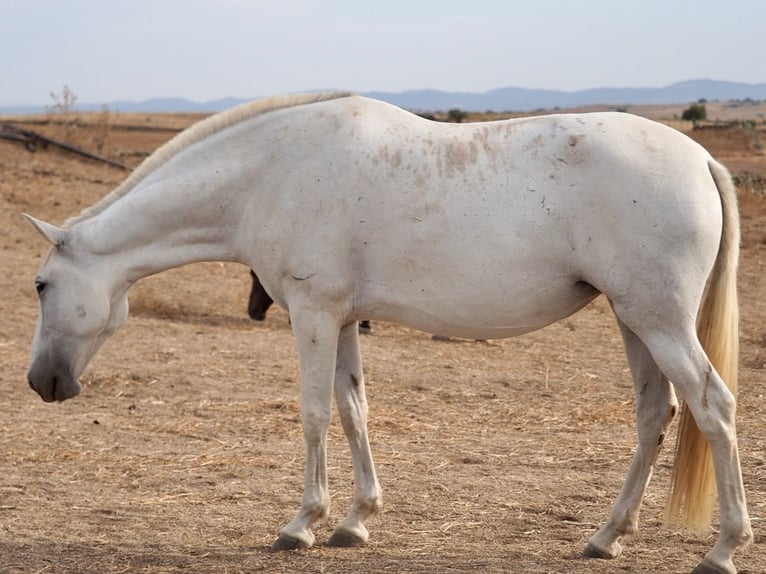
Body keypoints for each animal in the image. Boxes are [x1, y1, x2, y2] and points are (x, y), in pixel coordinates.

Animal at [25, 92, 756, 572]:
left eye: (40, 286)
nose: (42, 382)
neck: (270, 171)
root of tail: (699, 159)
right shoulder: (344, 319)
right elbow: (354, 411)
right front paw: (355, 522)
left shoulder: (313, 314)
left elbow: (316, 414)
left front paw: (302, 525)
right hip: (635, 320)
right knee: (655, 413)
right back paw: (606, 537)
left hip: (659, 322)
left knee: (713, 407)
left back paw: (724, 548)